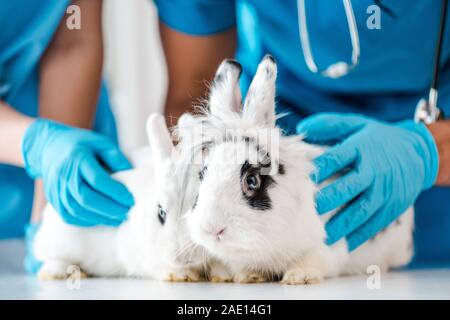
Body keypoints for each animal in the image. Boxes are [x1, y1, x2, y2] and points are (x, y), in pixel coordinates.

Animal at [177, 56, 414, 284]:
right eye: (202, 175)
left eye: (252, 180)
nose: (212, 228)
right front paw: (249, 276)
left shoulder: (326, 246)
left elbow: (312, 260)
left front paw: (298, 277)